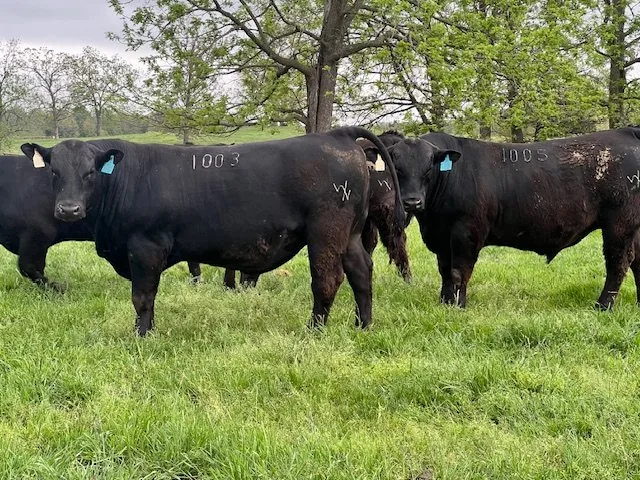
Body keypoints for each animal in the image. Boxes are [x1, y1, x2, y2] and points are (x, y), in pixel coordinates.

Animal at [21, 127, 403, 335]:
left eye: (90, 172)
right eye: (54, 171)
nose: (68, 209)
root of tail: (337, 134)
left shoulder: (145, 247)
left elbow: (142, 297)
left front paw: (141, 336)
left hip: (326, 232)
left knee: (327, 279)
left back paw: (314, 331)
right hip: (350, 234)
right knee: (361, 273)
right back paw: (363, 325)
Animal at [370, 127, 640, 310]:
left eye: (429, 168)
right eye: (397, 168)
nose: (412, 201)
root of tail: (626, 132)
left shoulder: (466, 233)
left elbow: (459, 271)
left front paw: (459, 305)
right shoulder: (441, 237)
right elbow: (445, 271)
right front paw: (445, 303)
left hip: (619, 224)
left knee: (619, 263)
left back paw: (603, 306)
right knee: (637, 261)